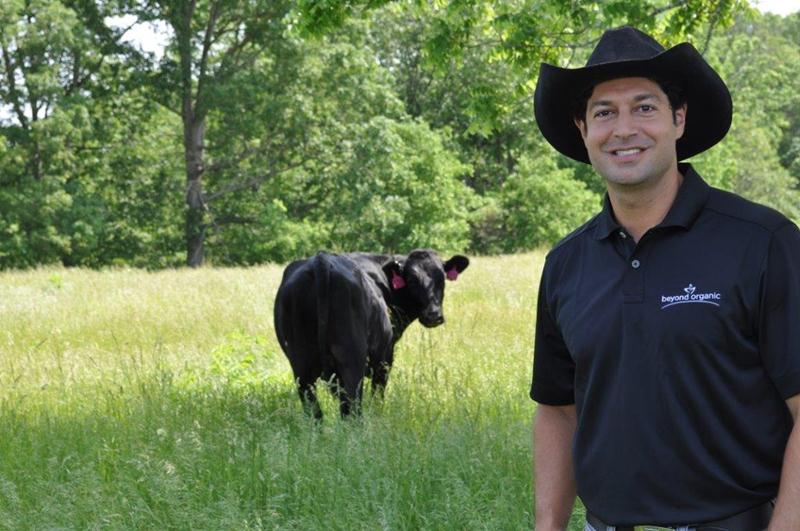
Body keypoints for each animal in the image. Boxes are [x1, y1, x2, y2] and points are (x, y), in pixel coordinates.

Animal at [274, 249, 468, 420]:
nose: (433, 315)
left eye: (442, 278)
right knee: (353, 409)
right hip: (352, 359)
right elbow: (377, 393)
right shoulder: (385, 356)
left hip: (301, 364)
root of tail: (320, 260)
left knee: (316, 411)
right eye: (412, 280)